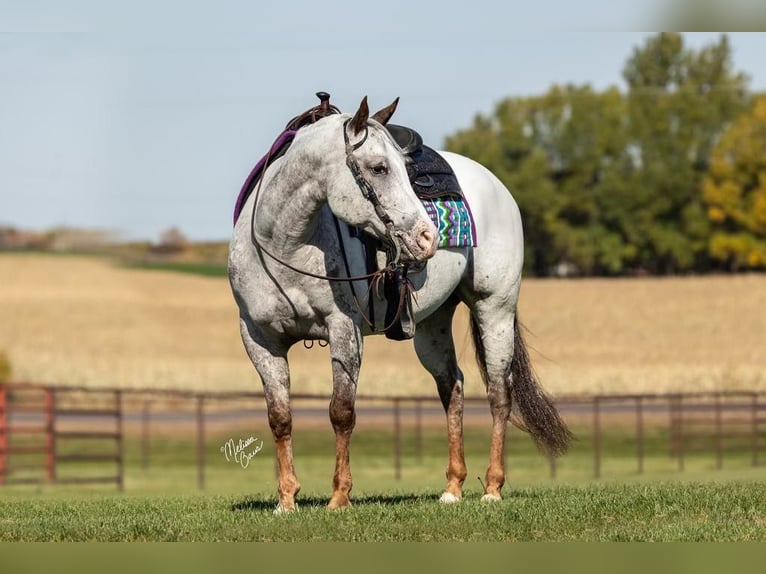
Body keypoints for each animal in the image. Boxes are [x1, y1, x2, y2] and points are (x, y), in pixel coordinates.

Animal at [228, 97, 568, 516]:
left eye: (403, 168)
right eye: (379, 167)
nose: (427, 237)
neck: (282, 246)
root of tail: (496, 186)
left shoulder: (345, 331)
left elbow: (341, 412)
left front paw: (339, 496)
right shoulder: (259, 339)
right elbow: (280, 417)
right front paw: (287, 499)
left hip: (495, 309)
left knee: (498, 393)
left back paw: (492, 487)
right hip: (432, 325)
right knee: (452, 387)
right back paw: (452, 487)